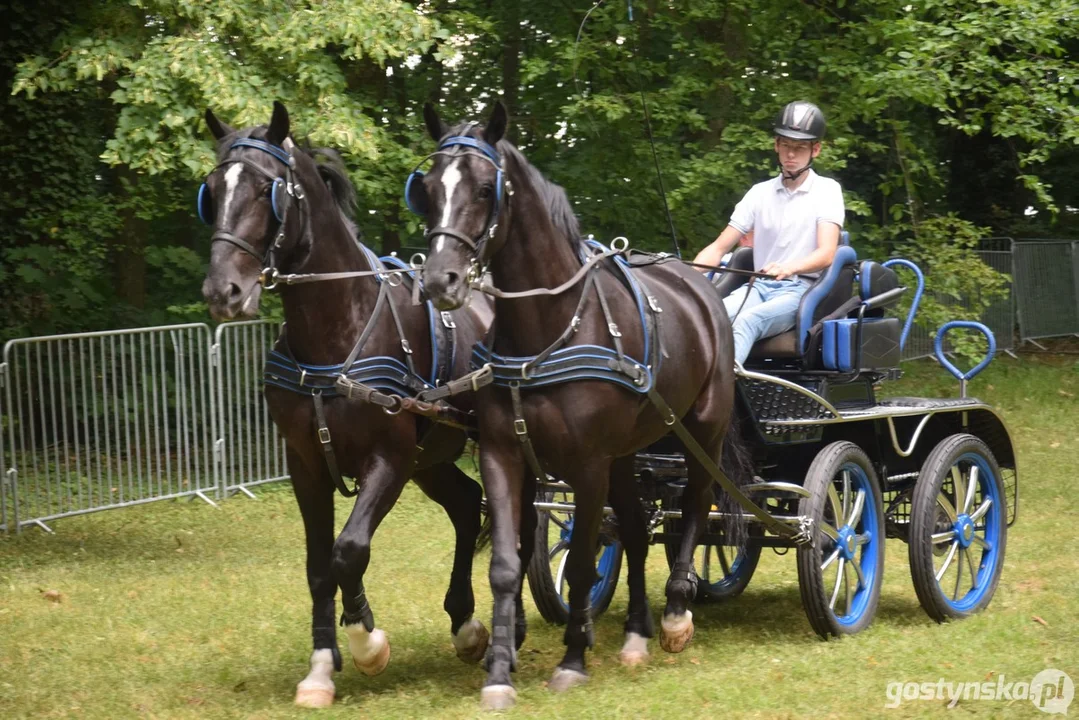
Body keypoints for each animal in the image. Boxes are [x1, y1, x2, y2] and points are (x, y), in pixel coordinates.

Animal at [200, 101, 492, 708]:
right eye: (211, 191)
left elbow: (349, 549)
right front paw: (320, 668)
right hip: (433, 457)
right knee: (464, 503)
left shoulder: (389, 459)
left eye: (265, 189)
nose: (223, 291)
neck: (338, 329)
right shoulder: (306, 464)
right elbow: (318, 565)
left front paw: (367, 642)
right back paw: (465, 623)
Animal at [414, 102, 750, 708]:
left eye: (484, 188)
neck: (545, 331)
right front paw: (499, 671)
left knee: (695, 507)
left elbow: (580, 567)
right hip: (627, 454)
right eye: (427, 188)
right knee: (638, 530)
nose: (439, 280)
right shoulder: (504, 455)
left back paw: (676, 614)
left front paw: (572, 661)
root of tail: (698, 284)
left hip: (702, 433)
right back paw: (637, 635)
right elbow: (506, 565)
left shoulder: (588, 466)